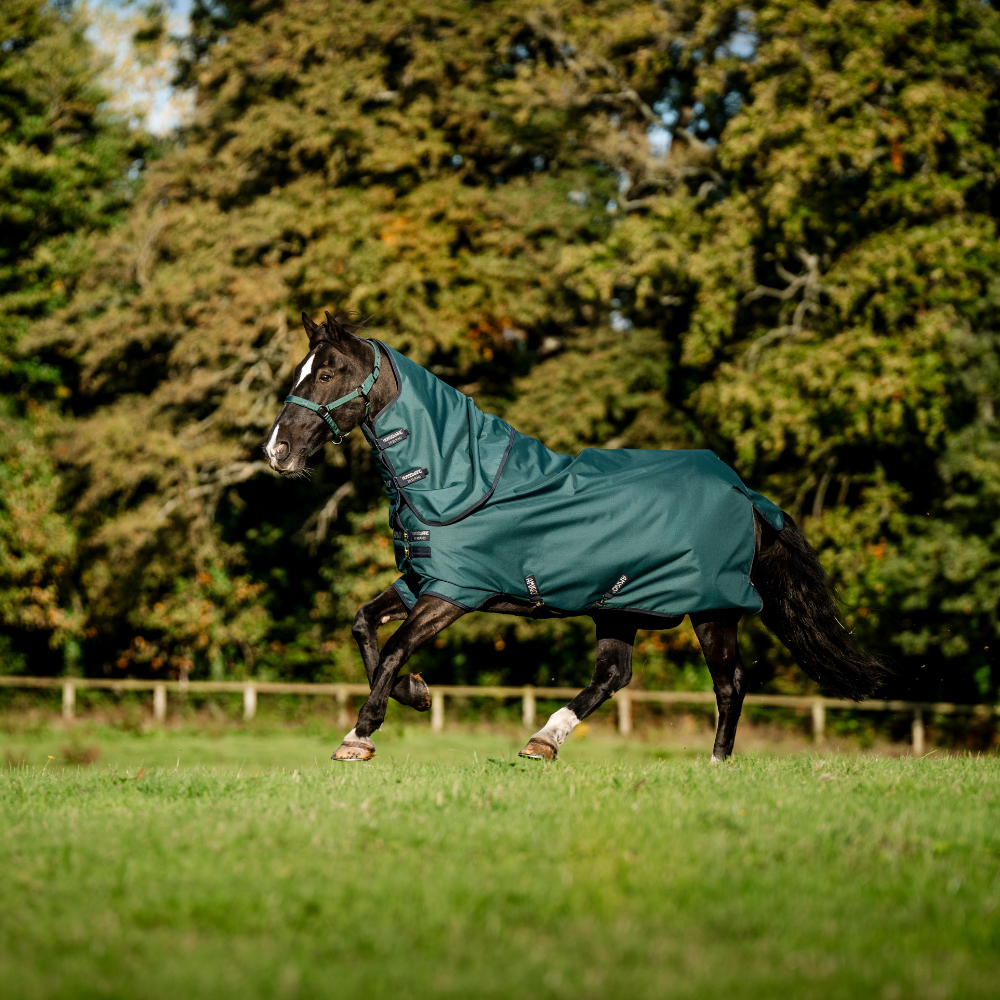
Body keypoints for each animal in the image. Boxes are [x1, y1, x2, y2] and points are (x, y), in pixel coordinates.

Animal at [264, 311, 890, 762]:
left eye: (326, 374)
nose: (277, 450)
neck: (456, 478)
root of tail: (745, 494)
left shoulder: (454, 593)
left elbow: (394, 648)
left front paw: (359, 736)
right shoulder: (421, 580)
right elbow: (364, 626)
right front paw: (416, 695)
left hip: (713, 609)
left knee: (729, 683)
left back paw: (715, 763)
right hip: (622, 605)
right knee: (614, 675)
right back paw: (544, 740)